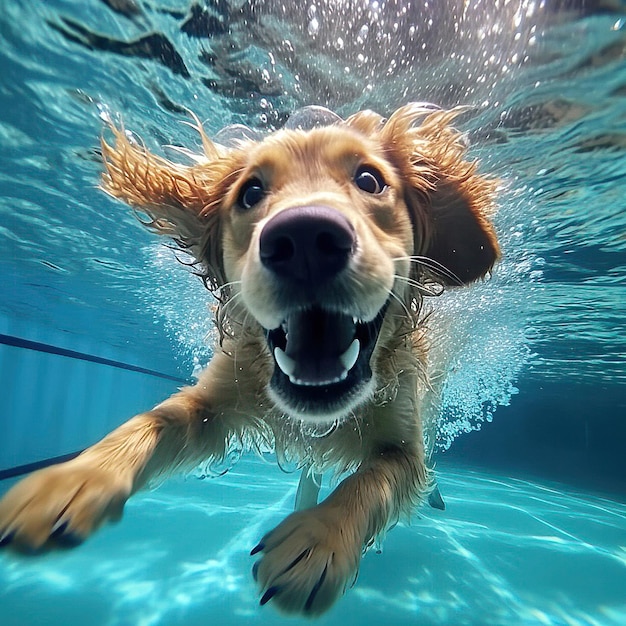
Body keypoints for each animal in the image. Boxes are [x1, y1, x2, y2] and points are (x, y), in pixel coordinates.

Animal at [0, 103, 498, 616]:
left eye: (369, 180)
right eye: (251, 192)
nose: (304, 238)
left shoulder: (403, 446)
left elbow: (372, 481)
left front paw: (319, 539)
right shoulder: (211, 401)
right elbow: (150, 422)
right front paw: (72, 479)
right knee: (310, 472)